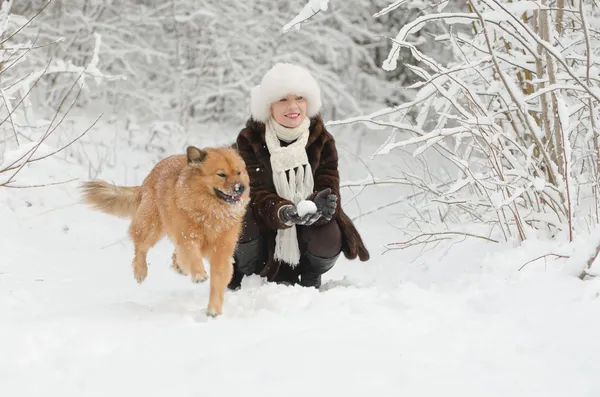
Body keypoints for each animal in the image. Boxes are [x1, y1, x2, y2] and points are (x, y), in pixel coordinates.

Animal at [79, 145, 248, 316]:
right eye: (221, 174)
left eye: (238, 172)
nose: (241, 188)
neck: (211, 212)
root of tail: (149, 176)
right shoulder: (187, 238)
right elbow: (192, 255)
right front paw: (198, 274)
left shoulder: (222, 252)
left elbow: (217, 281)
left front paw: (214, 310)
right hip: (151, 227)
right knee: (140, 247)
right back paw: (141, 271)